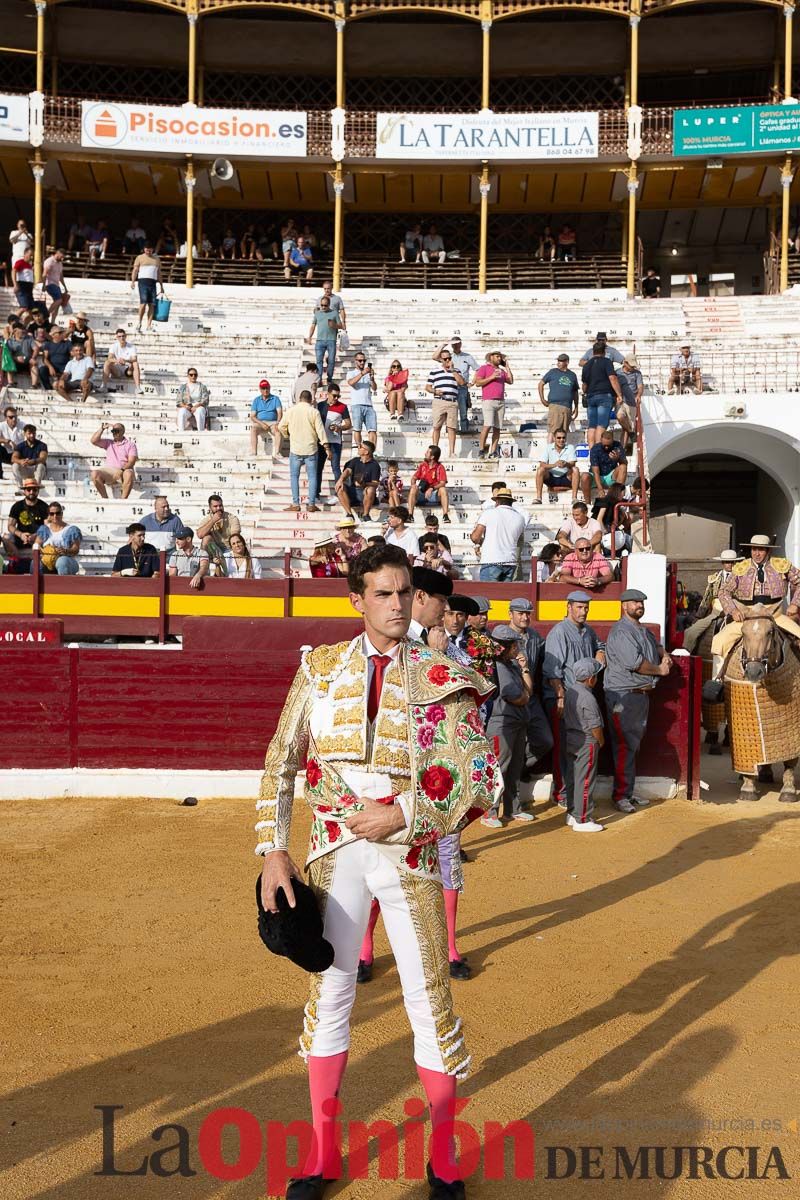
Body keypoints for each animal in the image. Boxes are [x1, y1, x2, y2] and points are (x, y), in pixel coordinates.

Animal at [724, 600, 800, 806]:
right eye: (743, 632)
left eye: (770, 632)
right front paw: (748, 788)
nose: (753, 671)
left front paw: (788, 791)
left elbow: (791, 761)